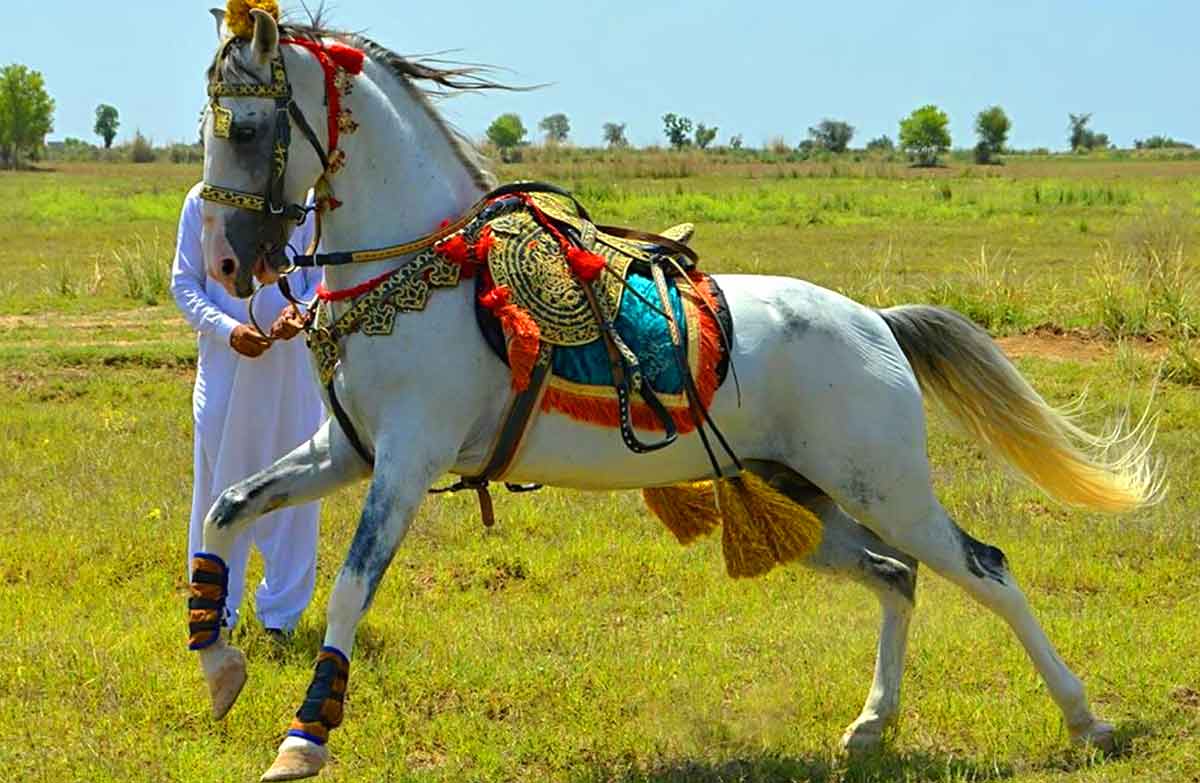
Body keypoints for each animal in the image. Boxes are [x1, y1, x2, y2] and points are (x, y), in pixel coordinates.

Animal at [191, 9, 1160, 781]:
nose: (231, 264)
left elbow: (352, 588)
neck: (417, 265)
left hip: (887, 486)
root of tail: (875, 322)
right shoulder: (345, 452)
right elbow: (227, 509)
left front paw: (303, 738)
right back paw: (871, 727)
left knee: (984, 567)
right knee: (897, 574)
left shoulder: (405, 457)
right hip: (802, 497)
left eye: (247, 126)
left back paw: (1088, 720)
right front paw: (218, 665)